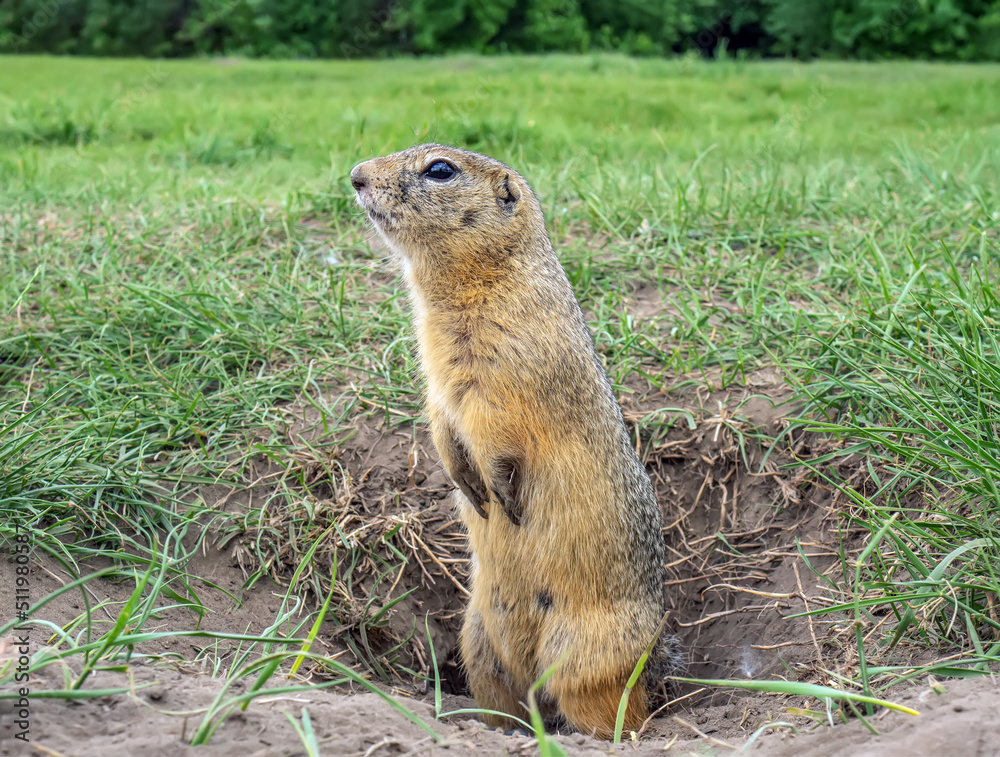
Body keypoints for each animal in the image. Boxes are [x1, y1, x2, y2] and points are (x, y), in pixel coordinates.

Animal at [352, 145, 680, 736]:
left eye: (440, 169)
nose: (355, 176)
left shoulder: (504, 379)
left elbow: (498, 436)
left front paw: (499, 494)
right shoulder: (437, 381)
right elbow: (441, 424)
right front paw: (468, 486)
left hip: (583, 654)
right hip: (478, 642)